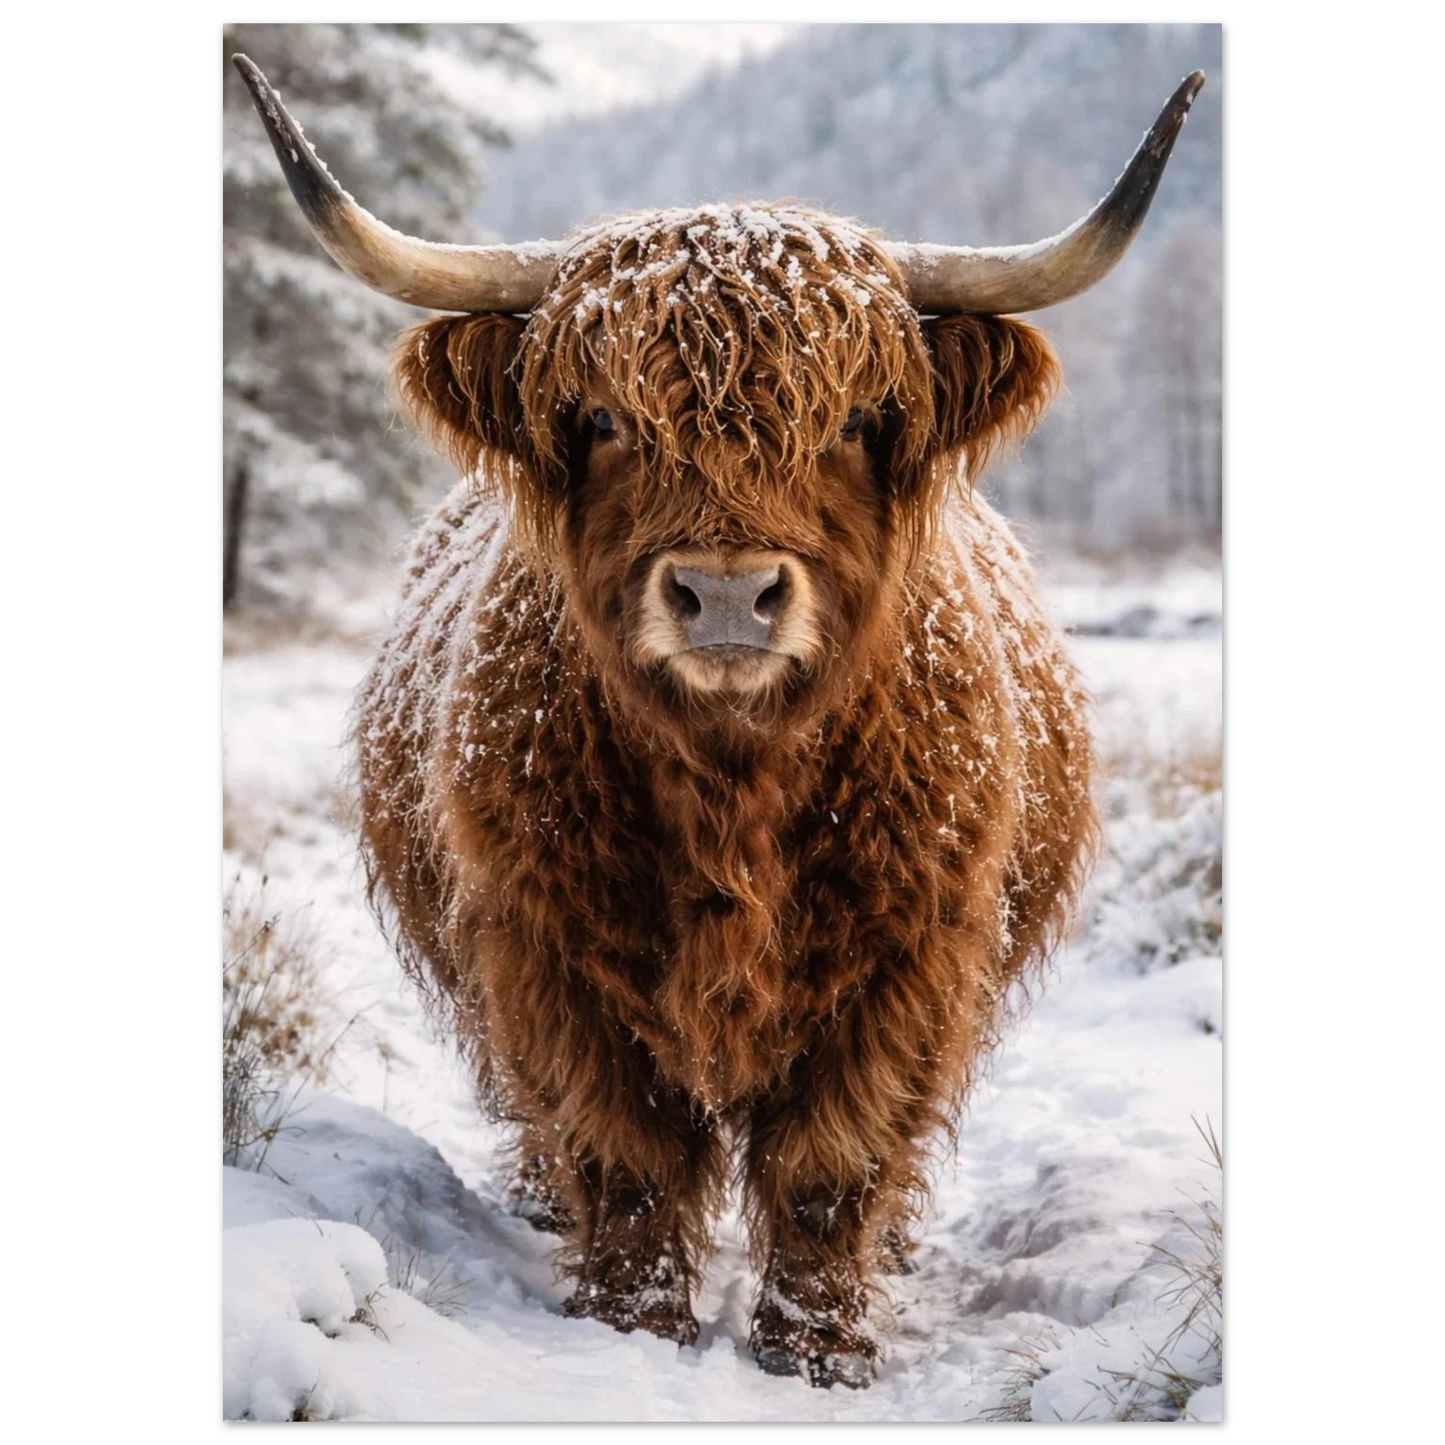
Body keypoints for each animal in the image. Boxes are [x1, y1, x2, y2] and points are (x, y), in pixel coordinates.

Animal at [233, 56, 1204, 1389]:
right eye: (599, 419)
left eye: (853, 419)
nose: (728, 592)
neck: (733, 782)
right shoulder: (546, 952)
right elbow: (624, 1155)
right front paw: (627, 1324)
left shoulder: (905, 962)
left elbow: (830, 1163)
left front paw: (818, 1347)